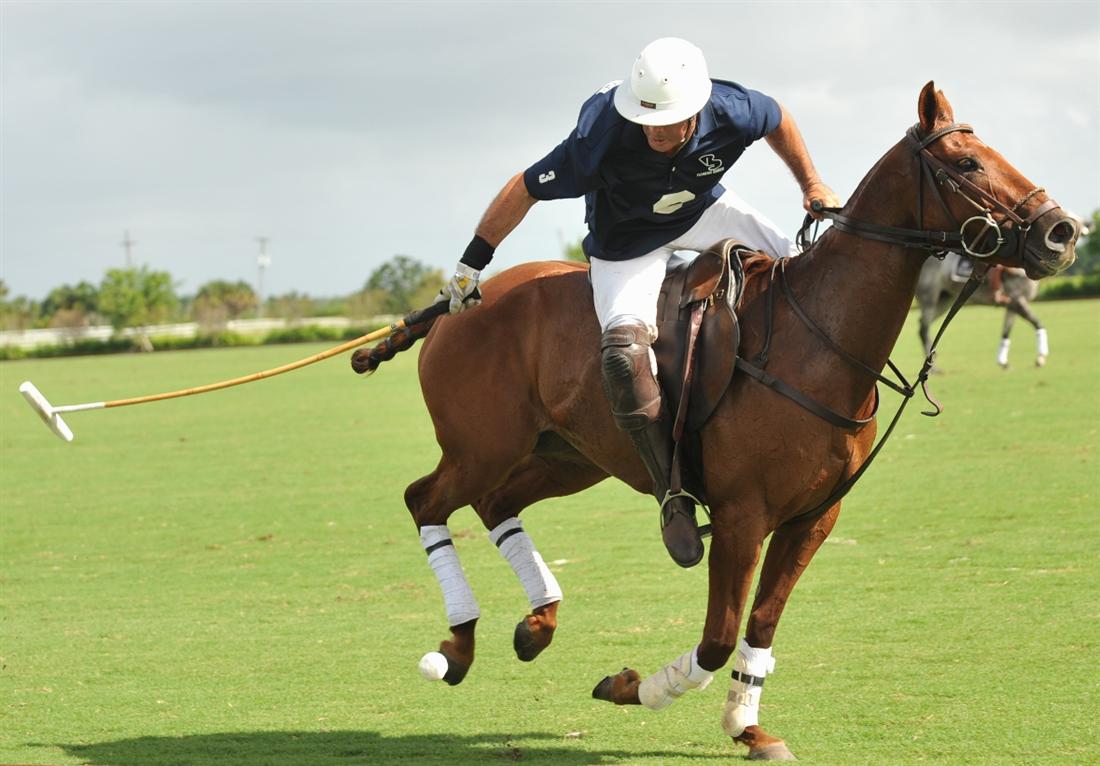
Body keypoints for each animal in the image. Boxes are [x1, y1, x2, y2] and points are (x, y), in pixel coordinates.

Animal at [917, 252, 1047, 368]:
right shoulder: (1017, 300)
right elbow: (1037, 323)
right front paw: (1040, 357)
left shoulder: (1013, 305)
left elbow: (1006, 332)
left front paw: (1003, 362)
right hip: (929, 298)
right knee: (924, 329)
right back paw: (934, 369)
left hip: (945, 300)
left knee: (924, 326)